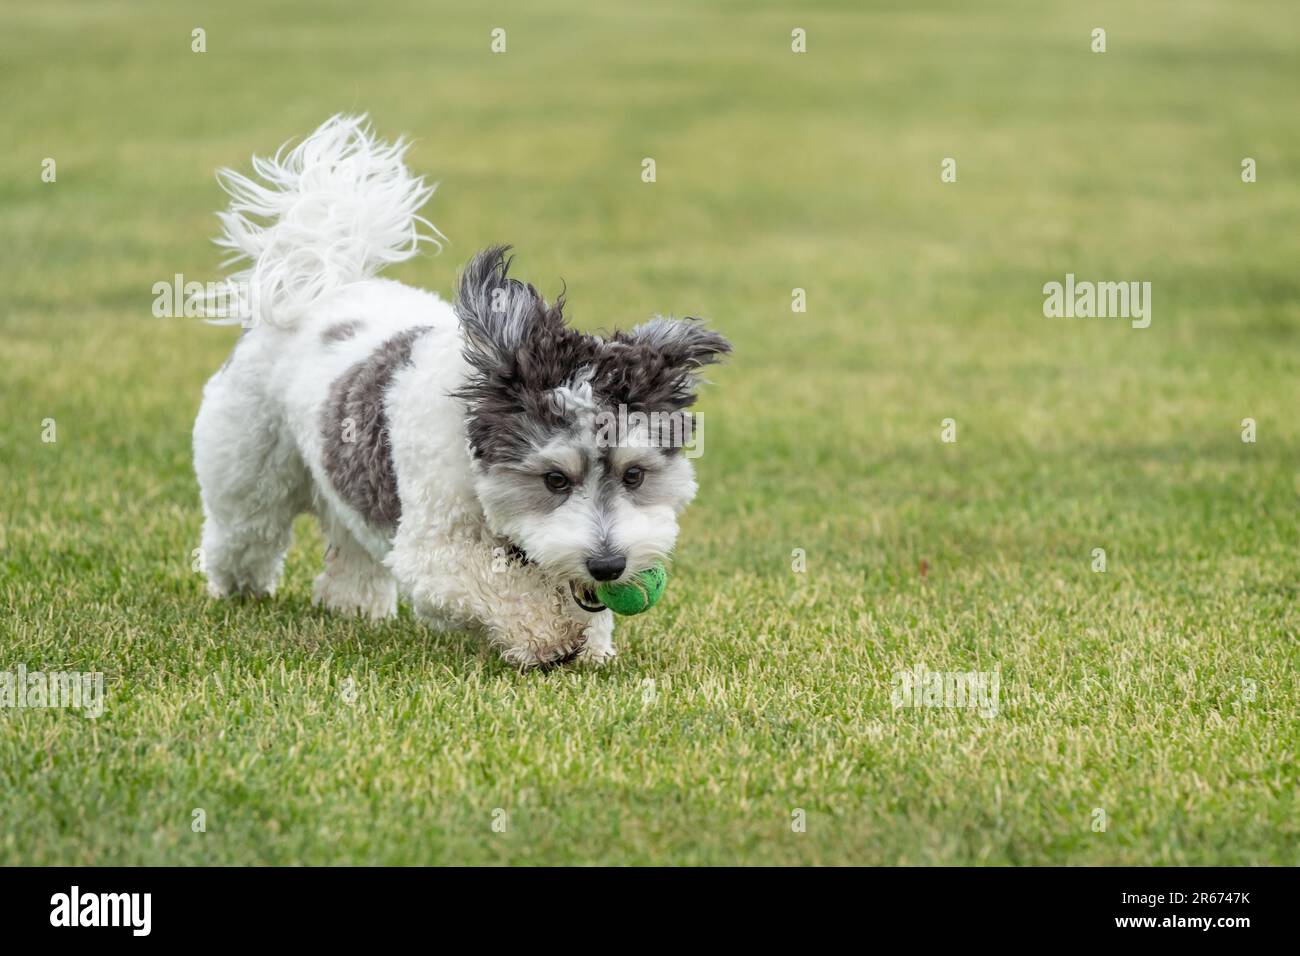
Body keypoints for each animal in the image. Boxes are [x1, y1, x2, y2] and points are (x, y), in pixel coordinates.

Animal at [191, 115, 728, 671]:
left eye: (635, 474)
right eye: (554, 479)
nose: (608, 565)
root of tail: (324, 287)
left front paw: (591, 644)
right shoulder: (434, 547)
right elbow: (494, 585)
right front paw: (546, 636)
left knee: (350, 546)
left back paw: (353, 605)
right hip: (246, 474)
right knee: (242, 535)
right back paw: (238, 591)